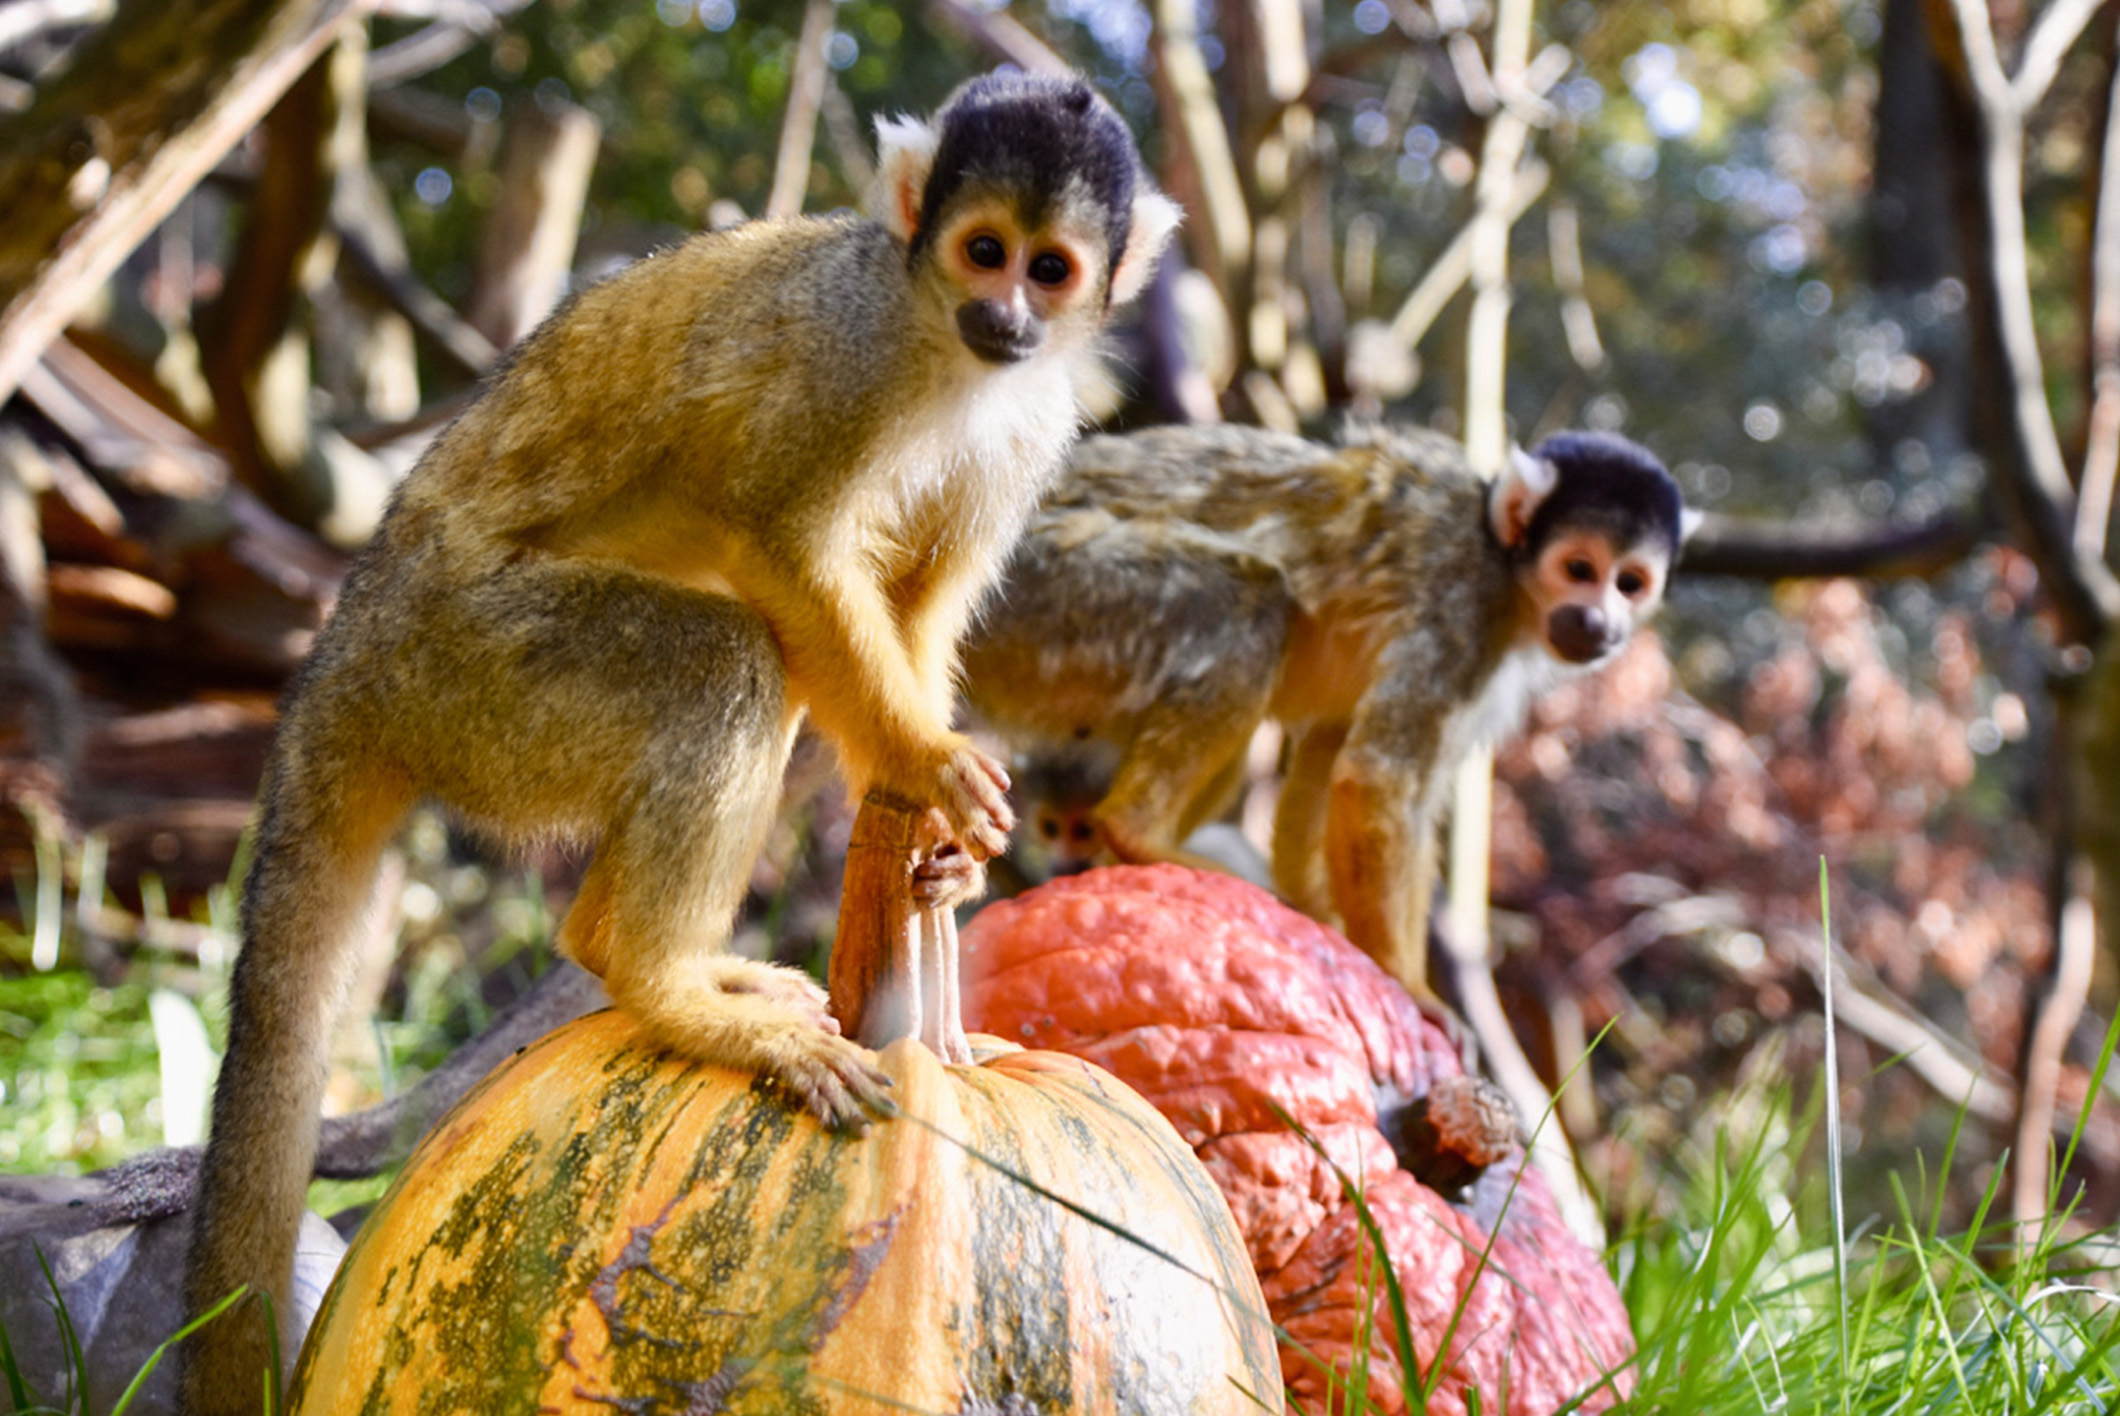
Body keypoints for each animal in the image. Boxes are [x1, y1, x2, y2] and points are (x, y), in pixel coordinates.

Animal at [180, 72, 1178, 1407]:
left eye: (1051, 268)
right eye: (983, 252)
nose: (1008, 316)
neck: (940, 344)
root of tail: (341, 655)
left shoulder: (1035, 424)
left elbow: (922, 599)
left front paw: (930, 847)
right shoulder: (848, 347)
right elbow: (781, 539)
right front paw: (923, 765)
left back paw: (643, 958)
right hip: (470, 677)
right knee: (729, 664)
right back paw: (665, 987)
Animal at [962, 419, 1687, 996]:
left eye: (1629, 583)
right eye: (1579, 569)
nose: (1599, 622)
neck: (1510, 579)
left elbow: (1329, 753)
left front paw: (1321, 919)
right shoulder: (1462, 608)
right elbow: (1378, 779)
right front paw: (1408, 985)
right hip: (1041, 597)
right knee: (1246, 598)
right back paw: (1140, 834)